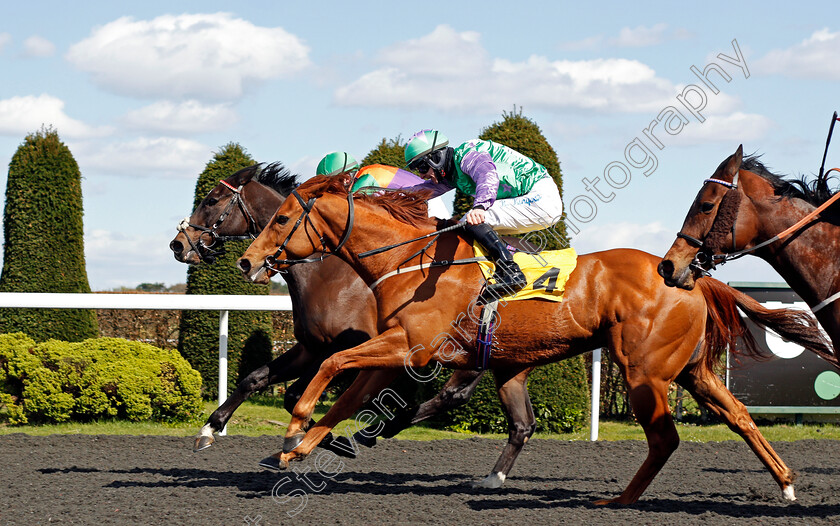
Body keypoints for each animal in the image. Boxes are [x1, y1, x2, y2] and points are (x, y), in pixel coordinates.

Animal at [236, 174, 832, 508]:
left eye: (282, 219)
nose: (245, 261)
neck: (410, 261)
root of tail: (688, 274)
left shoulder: (411, 349)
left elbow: (331, 366)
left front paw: (295, 426)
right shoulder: (397, 351)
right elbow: (346, 395)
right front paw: (298, 446)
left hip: (643, 370)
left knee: (665, 438)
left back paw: (619, 501)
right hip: (691, 370)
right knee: (740, 415)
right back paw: (785, 484)